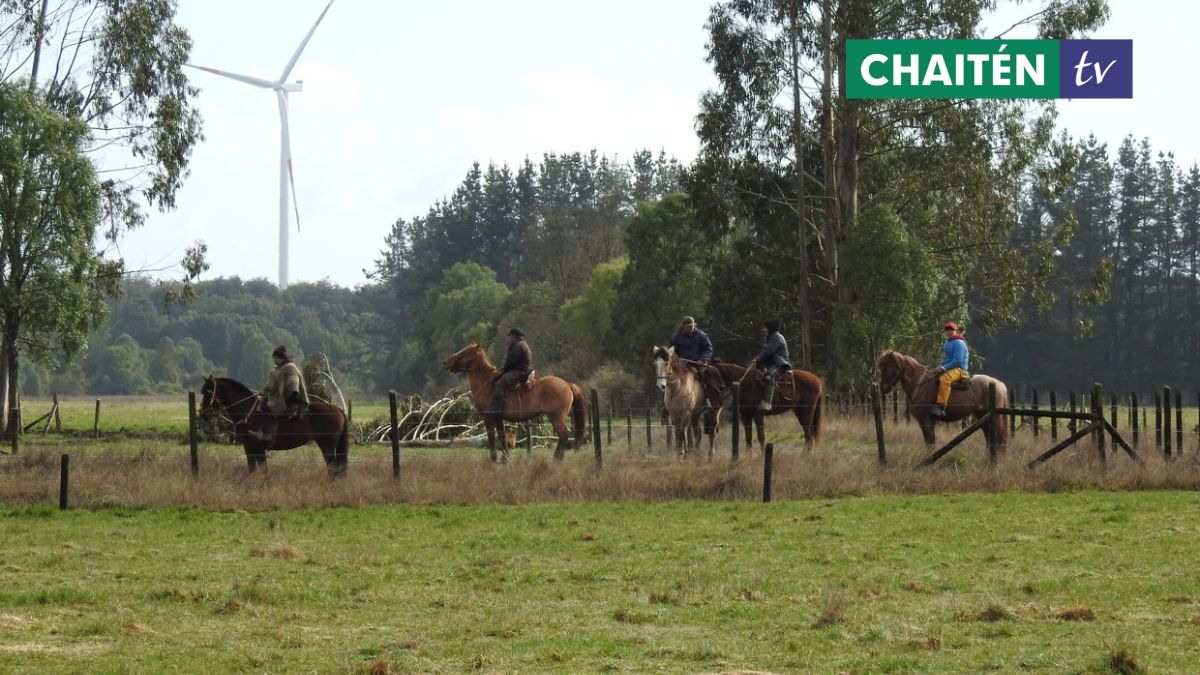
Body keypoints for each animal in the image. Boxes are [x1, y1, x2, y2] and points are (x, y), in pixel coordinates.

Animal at [199, 372, 350, 473]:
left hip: (327, 446)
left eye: (208, 392)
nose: (204, 414)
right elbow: (253, 469)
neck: (248, 410)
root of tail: (338, 409)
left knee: (332, 469)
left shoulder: (258, 448)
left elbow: (263, 470)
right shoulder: (249, 448)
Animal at [444, 338, 588, 458]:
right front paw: (506, 458)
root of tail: (567, 384)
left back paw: (557, 459)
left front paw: (494, 459)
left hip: (556, 418)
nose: (445, 362)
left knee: (564, 436)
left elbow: (491, 438)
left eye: (463, 352)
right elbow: (502, 437)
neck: (485, 382)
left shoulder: (488, 418)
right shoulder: (498, 419)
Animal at [878, 345, 1008, 446]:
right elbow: (929, 441)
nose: (883, 388)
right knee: (989, 437)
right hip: (983, 416)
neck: (920, 383)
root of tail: (1000, 385)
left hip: (994, 418)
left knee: (998, 438)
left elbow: (930, 441)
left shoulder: (926, 419)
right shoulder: (925, 421)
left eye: (885, 368)